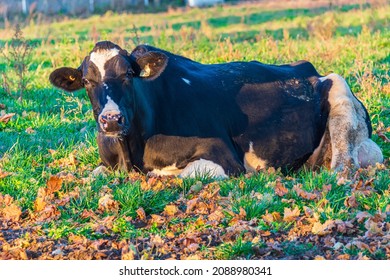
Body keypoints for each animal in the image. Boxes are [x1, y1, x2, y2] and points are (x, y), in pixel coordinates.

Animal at [49, 40, 384, 178]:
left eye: (129, 74)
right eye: (87, 80)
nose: (112, 119)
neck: (131, 150)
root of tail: (309, 68)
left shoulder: (222, 156)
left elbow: (174, 175)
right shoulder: (107, 165)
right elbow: (95, 175)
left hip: (341, 96)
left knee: (344, 165)